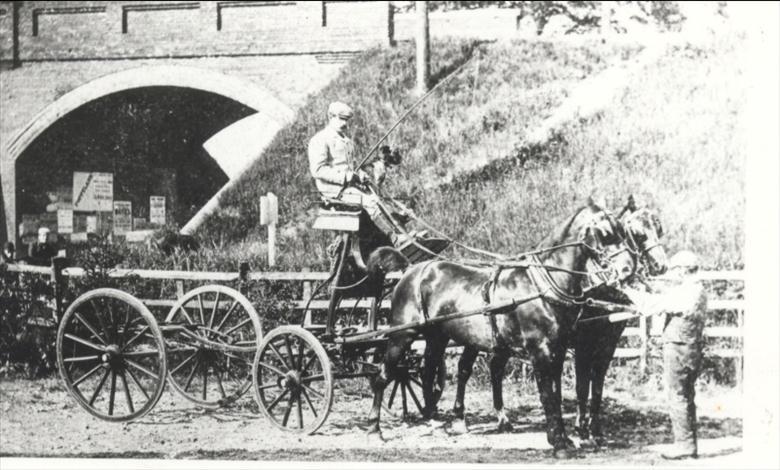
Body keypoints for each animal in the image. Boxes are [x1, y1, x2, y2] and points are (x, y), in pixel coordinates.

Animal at [366, 199, 632, 458]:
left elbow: (558, 393)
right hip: (402, 336)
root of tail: (411, 270)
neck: (542, 286)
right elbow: (550, 395)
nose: (628, 268)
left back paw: (434, 420)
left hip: (437, 337)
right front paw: (559, 443)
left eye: (622, 231)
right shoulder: (543, 352)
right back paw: (374, 429)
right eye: (605, 232)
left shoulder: (559, 350)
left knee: (428, 371)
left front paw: (565, 438)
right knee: (383, 376)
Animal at [568, 197, 668, 444]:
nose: (661, 265)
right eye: (637, 232)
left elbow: (597, 386)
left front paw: (595, 428)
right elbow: (582, 386)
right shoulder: (583, 346)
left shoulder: (608, 344)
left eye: (657, 227)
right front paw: (580, 429)